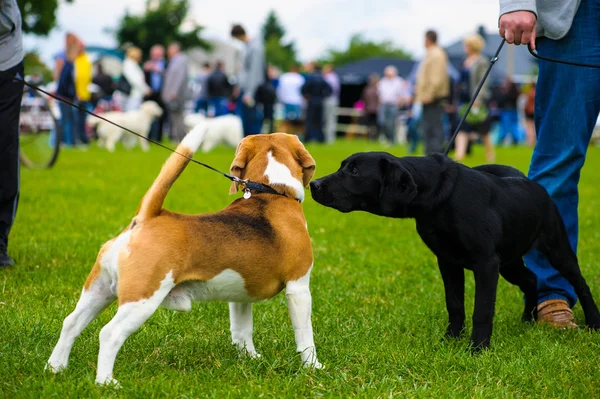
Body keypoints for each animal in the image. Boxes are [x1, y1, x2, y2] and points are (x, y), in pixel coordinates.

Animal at [45, 127, 324, 384]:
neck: (270, 191)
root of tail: (147, 217)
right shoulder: (298, 287)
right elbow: (305, 333)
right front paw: (313, 366)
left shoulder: (240, 295)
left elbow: (242, 330)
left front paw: (251, 358)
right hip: (142, 298)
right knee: (109, 333)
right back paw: (106, 382)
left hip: (99, 291)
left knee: (71, 323)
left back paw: (55, 368)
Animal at [312, 153, 596, 350]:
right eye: (343, 166)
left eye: (355, 171)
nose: (314, 184)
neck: (437, 200)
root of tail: (532, 184)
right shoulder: (448, 261)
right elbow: (455, 304)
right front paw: (449, 340)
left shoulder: (486, 263)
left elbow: (482, 310)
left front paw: (478, 348)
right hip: (510, 263)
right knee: (531, 279)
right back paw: (527, 319)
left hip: (557, 250)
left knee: (580, 284)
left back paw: (594, 322)